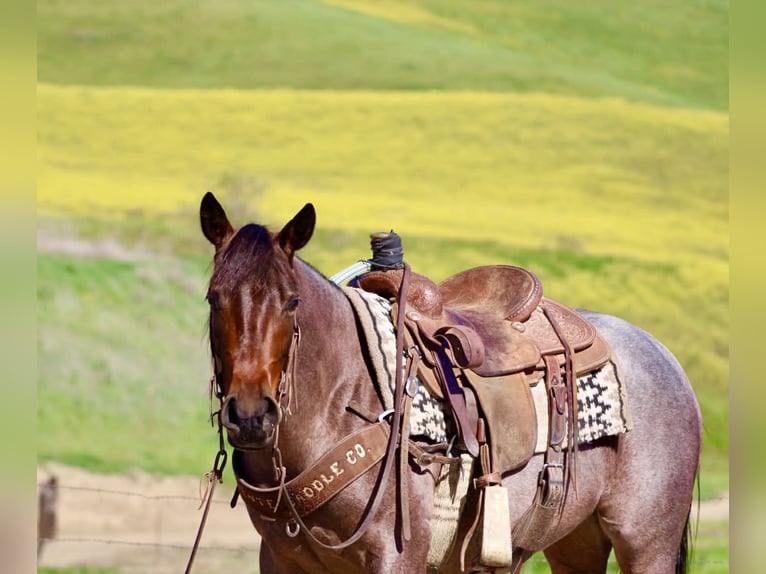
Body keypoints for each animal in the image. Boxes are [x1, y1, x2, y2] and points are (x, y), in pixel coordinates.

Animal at [199, 192, 701, 573]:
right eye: (213, 298)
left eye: (291, 301)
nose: (250, 415)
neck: (339, 404)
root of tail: (667, 358)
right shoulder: (281, 560)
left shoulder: (395, 557)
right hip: (576, 541)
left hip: (646, 544)